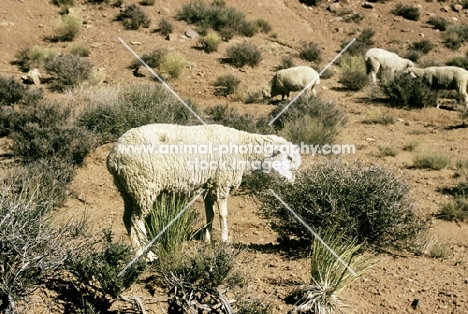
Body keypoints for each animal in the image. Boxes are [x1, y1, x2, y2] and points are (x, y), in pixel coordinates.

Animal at [107, 122, 302, 260]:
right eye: (289, 158)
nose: (293, 182)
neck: (243, 151)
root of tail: (113, 158)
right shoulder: (222, 183)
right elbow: (223, 214)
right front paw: (224, 240)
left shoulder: (210, 186)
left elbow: (210, 213)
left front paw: (207, 239)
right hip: (144, 187)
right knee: (137, 220)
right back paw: (148, 254)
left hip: (128, 189)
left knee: (127, 219)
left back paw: (137, 253)